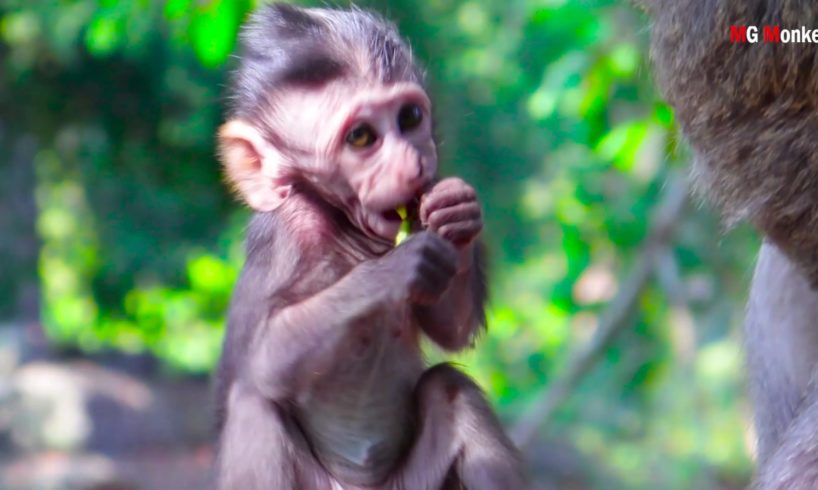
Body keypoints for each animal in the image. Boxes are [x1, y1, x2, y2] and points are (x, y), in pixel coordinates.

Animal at [210, 3, 524, 490]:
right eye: (361, 137)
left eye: (409, 118)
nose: (413, 165)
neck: (344, 230)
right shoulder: (288, 236)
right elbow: (263, 359)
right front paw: (399, 268)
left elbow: (450, 329)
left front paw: (457, 213)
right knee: (255, 408)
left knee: (453, 392)